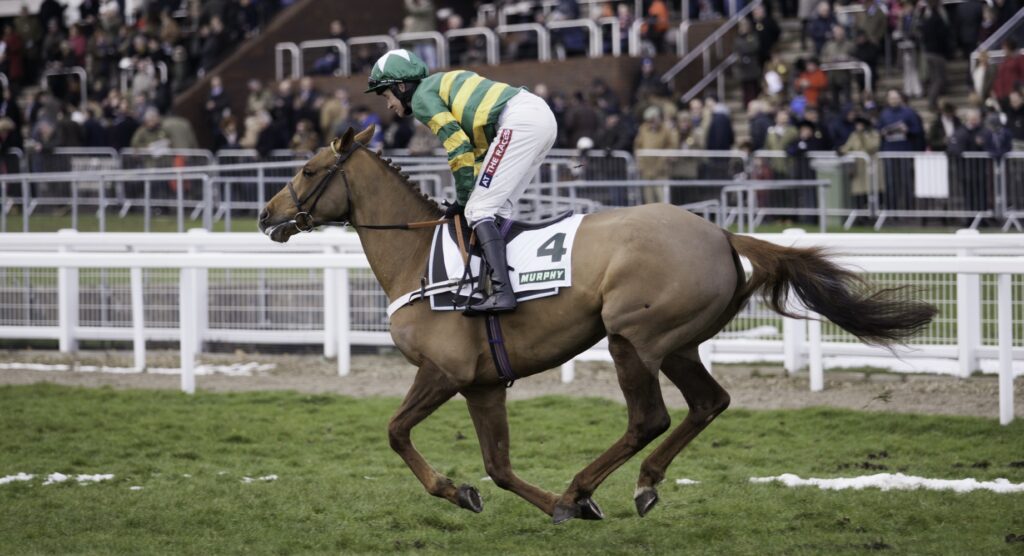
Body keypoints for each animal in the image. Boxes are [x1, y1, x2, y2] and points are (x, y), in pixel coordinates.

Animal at [256, 127, 937, 528]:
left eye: (310, 169)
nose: (266, 214)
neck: (419, 260)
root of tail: (721, 233)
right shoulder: (481, 383)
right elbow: (498, 466)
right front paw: (496, 495)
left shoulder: (443, 372)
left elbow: (397, 433)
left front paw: (460, 490)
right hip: (678, 343)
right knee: (709, 402)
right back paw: (634, 486)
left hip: (630, 337)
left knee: (649, 418)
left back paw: (580, 489)